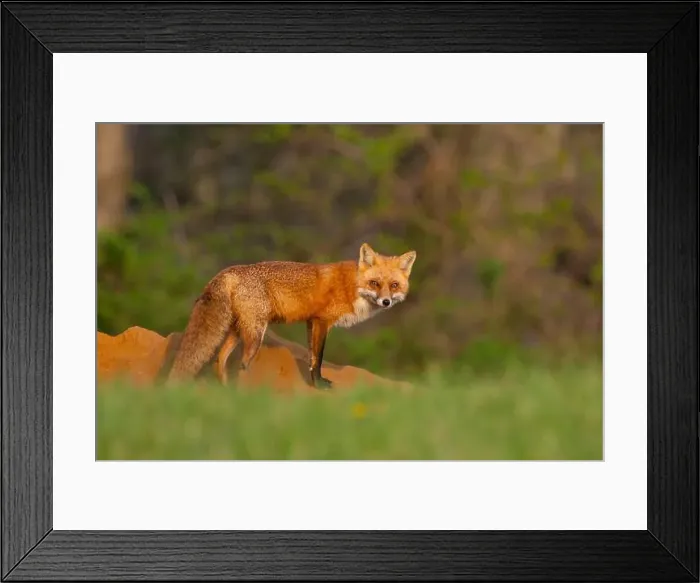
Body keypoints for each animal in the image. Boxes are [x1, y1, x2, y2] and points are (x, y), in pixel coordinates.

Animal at [167, 243, 416, 389]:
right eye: (375, 283)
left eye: (394, 285)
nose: (386, 302)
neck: (352, 287)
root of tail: (231, 270)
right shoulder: (321, 321)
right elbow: (318, 358)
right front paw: (319, 385)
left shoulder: (310, 322)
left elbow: (311, 357)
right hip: (256, 333)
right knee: (242, 364)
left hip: (238, 330)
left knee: (220, 362)